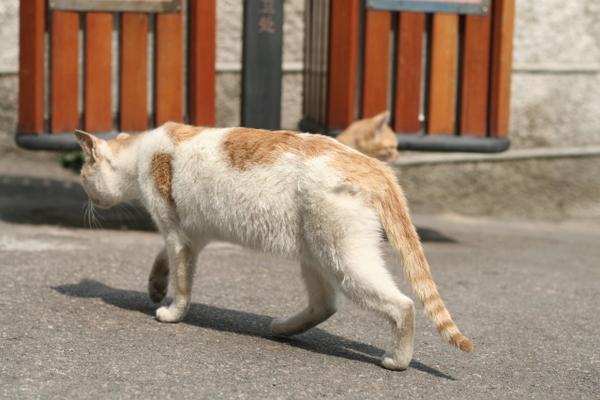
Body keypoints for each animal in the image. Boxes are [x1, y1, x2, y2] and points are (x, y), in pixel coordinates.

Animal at [75, 123, 472, 370]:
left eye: (82, 176)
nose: (86, 198)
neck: (141, 153)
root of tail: (374, 166)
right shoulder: (190, 238)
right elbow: (165, 260)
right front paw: (155, 287)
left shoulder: (177, 235)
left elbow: (183, 284)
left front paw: (171, 312)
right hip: (316, 256)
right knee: (324, 305)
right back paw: (282, 328)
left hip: (344, 260)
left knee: (403, 306)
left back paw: (396, 361)